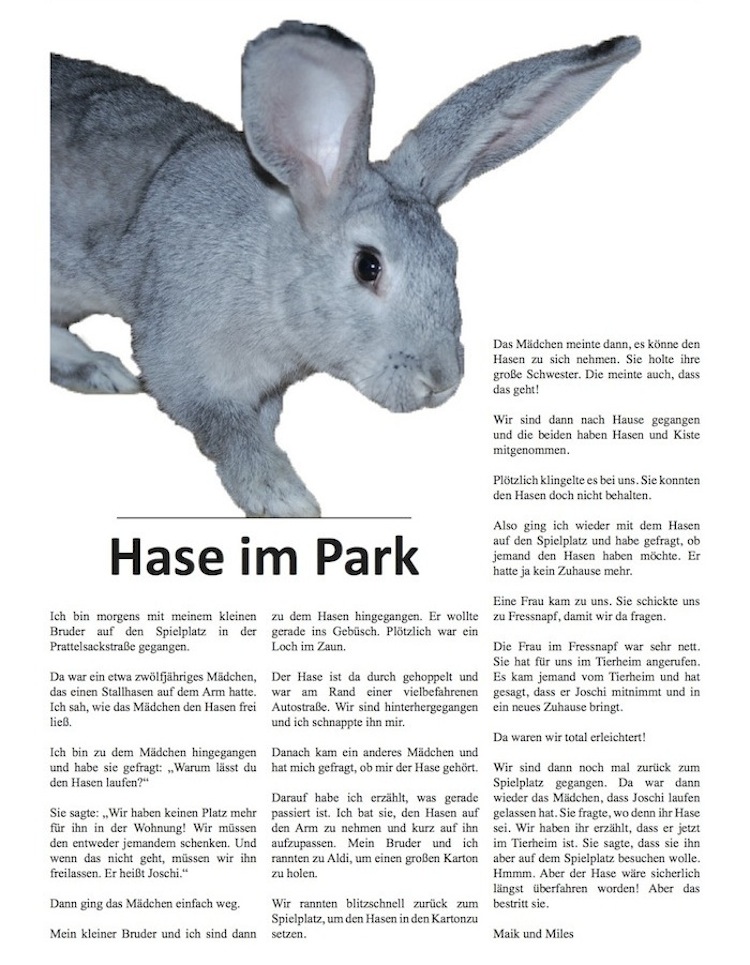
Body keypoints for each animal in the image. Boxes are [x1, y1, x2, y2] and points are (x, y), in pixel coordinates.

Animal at [50, 21, 640, 516]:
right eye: (367, 266)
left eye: (450, 256)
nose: (442, 383)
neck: (266, 266)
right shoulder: (183, 361)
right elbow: (227, 432)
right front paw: (284, 499)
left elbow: (260, 424)